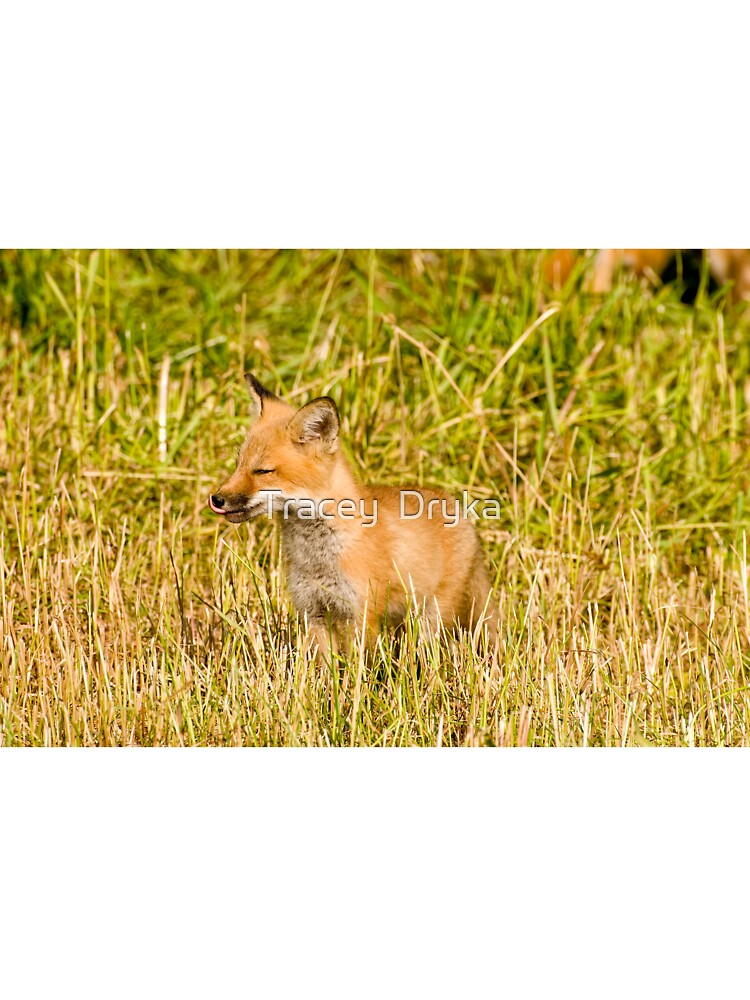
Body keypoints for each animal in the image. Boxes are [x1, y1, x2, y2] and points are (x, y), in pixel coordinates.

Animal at [208, 375, 496, 654]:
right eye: (238, 465)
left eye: (263, 471)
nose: (216, 498)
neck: (317, 558)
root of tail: (457, 506)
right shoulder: (313, 612)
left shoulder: (360, 615)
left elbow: (359, 665)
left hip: (431, 618)